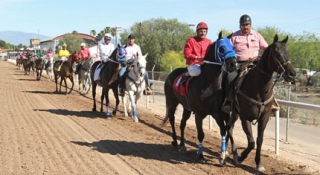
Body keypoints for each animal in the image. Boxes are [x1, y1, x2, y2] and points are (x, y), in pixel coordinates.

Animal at [162, 32, 238, 164]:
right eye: (222, 48)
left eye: (233, 47)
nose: (233, 64)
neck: (209, 85)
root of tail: (171, 74)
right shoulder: (199, 114)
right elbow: (201, 134)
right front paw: (201, 155)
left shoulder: (216, 113)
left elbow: (223, 130)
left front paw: (222, 157)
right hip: (171, 102)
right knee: (172, 119)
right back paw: (175, 141)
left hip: (186, 108)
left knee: (182, 123)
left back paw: (182, 145)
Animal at [224, 34, 296, 172]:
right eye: (277, 53)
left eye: (288, 53)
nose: (292, 74)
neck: (258, 89)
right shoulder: (245, 117)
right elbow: (251, 142)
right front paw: (241, 157)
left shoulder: (265, 117)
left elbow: (259, 140)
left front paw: (259, 163)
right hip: (234, 112)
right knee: (229, 127)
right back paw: (233, 153)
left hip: (235, 113)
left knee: (229, 127)